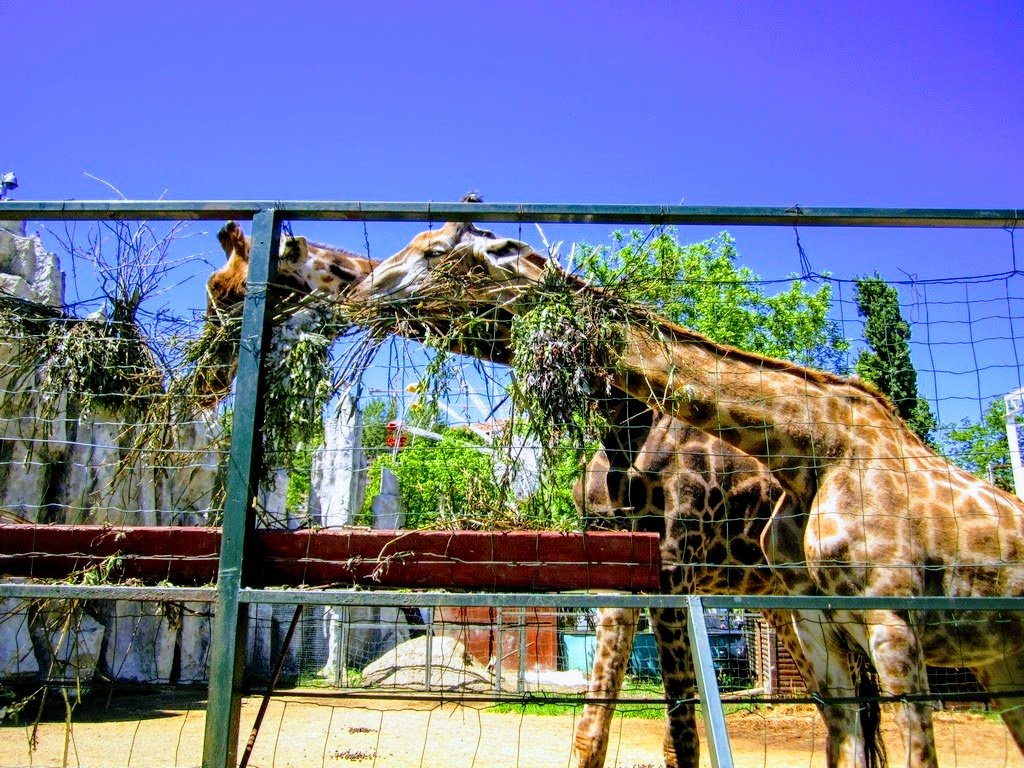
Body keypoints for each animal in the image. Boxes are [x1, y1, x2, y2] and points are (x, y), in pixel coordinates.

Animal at [199, 219, 880, 765]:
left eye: (221, 292)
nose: (208, 379)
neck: (625, 419)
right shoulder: (621, 575)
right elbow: (592, 731)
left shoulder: (674, 569)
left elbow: (679, 739)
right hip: (779, 596)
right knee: (844, 710)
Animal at [348, 211, 1024, 768]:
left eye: (435, 251)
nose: (362, 289)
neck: (819, 447)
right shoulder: (634, 581)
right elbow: (593, 733)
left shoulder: (883, 618)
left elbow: (683, 736)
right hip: (967, 654)